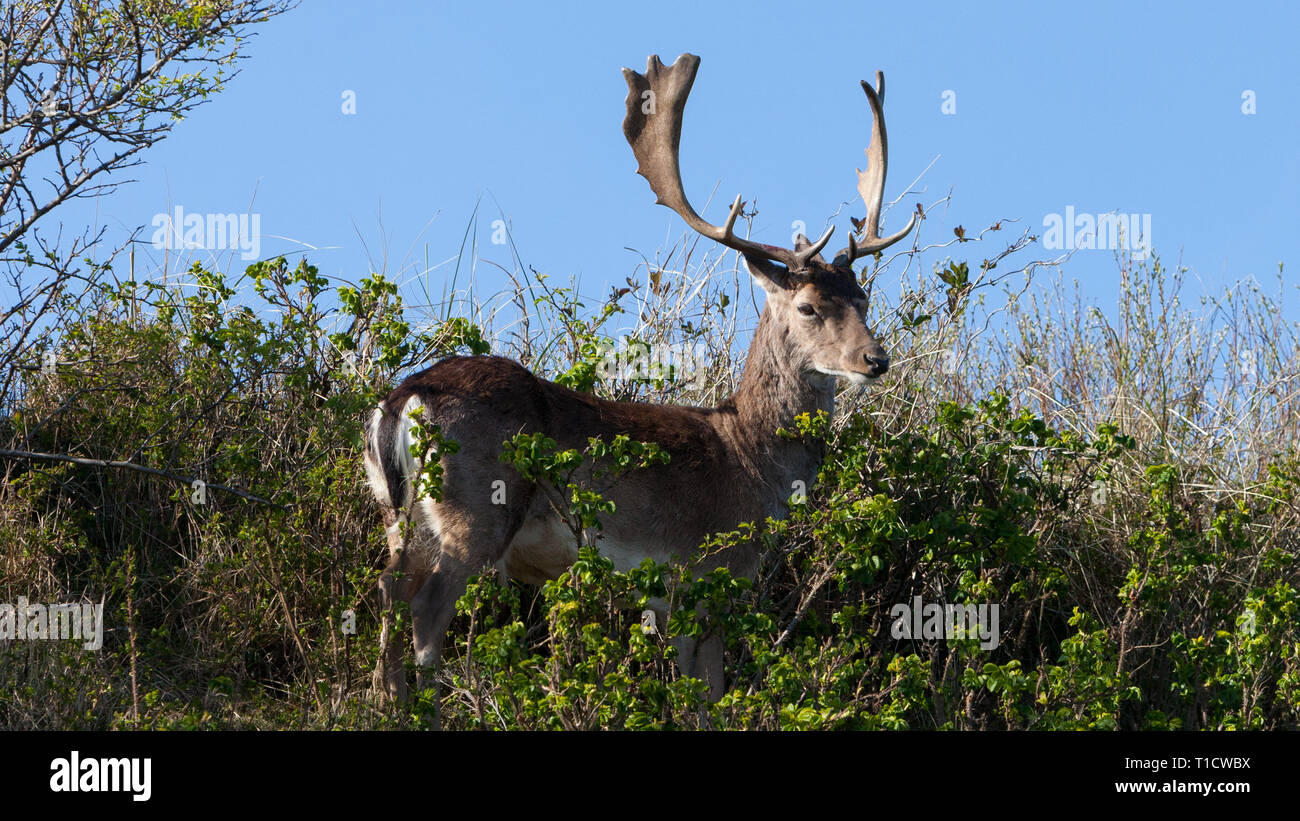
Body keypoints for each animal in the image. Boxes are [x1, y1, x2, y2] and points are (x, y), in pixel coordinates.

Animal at [361, 54, 920, 717]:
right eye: (808, 307)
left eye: (863, 299)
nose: (874, 359)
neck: (749, 458)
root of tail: (405, 398)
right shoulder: (709, 569)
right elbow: (708, 693)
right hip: (478, 502)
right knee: (427, 607)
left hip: (397, 509)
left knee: (388, 586)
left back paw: (378, 702)